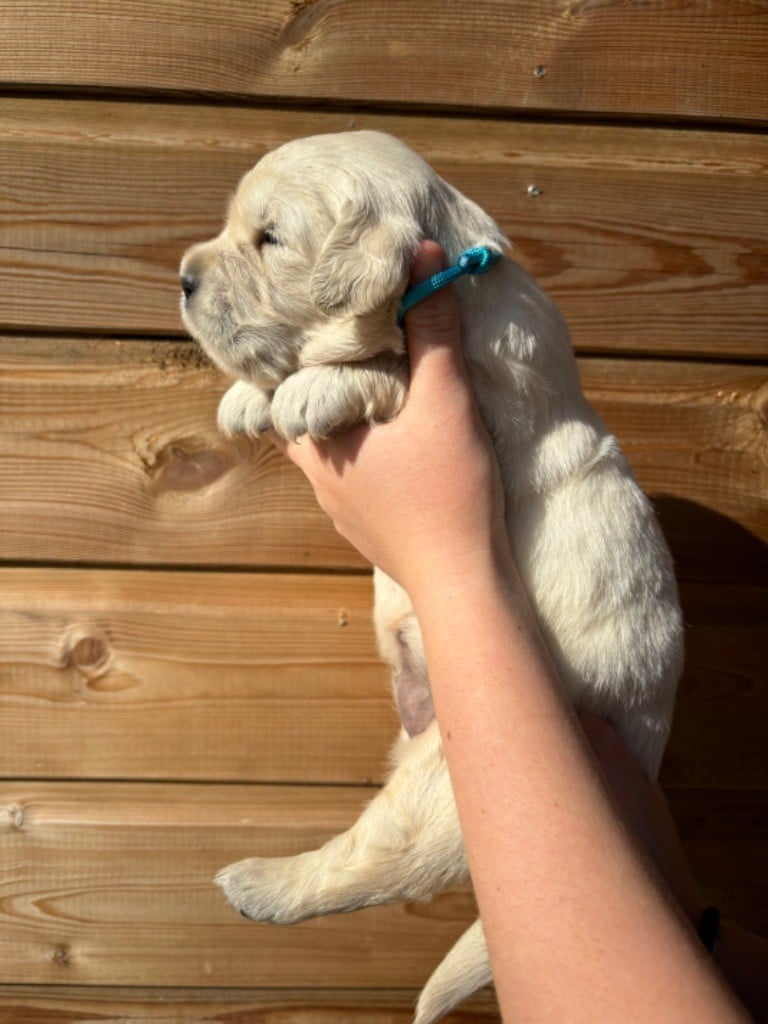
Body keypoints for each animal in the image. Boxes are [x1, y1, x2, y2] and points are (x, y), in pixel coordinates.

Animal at [180, 132, 684, 1019]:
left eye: (269, 239)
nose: (183, 277)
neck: (451, 275)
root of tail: (647, 745)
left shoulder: (487, 401)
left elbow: (388, 370)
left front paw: (312, 387)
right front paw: (246, 399)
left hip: (446, 789)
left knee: (372, 866)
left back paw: (260, 885)